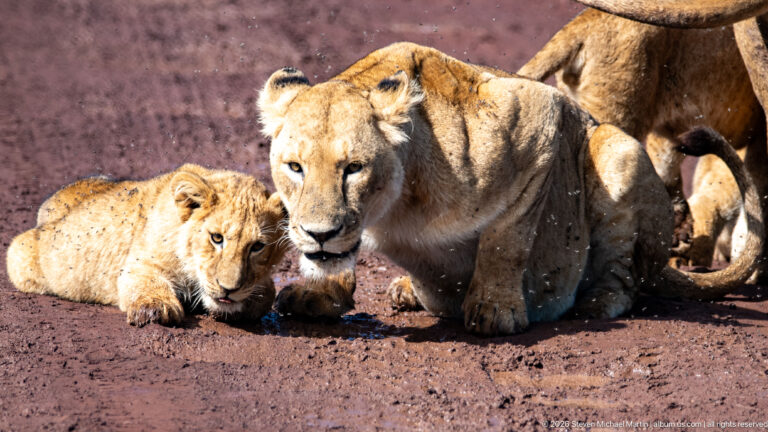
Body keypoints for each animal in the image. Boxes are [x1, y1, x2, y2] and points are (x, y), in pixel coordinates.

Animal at [6, 164, 287, 327]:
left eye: (257, 247)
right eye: (216, 238)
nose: (229, 289)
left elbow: (267, 294)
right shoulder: (138, 265)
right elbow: (147, 284)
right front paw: (156, 309)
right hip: (22, 254)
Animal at [257, 42, 764, 335]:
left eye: (354, 169)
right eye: (295, 167)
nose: (319, 234)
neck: (396, 205)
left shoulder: (538, 114)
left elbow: (508, 239)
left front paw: (495, 309)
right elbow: (340, 259)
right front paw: (319, 293)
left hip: (615, 149)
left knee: (626, 275)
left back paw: (597, 301)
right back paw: (407, 289)